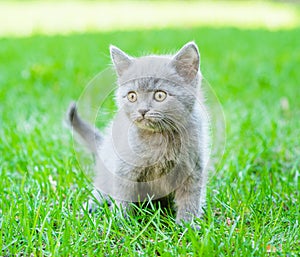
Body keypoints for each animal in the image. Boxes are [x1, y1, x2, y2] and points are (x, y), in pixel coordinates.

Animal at [67, 41, 209, 223]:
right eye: (132, 96)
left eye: (160, 95)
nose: (142, 110)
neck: (159, 138)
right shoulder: (125, 167)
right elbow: (123, 194)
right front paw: (120, 221)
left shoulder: (193, 167)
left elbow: (190, 198)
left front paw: (187, 224)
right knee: (101, 187)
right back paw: (92, 206)